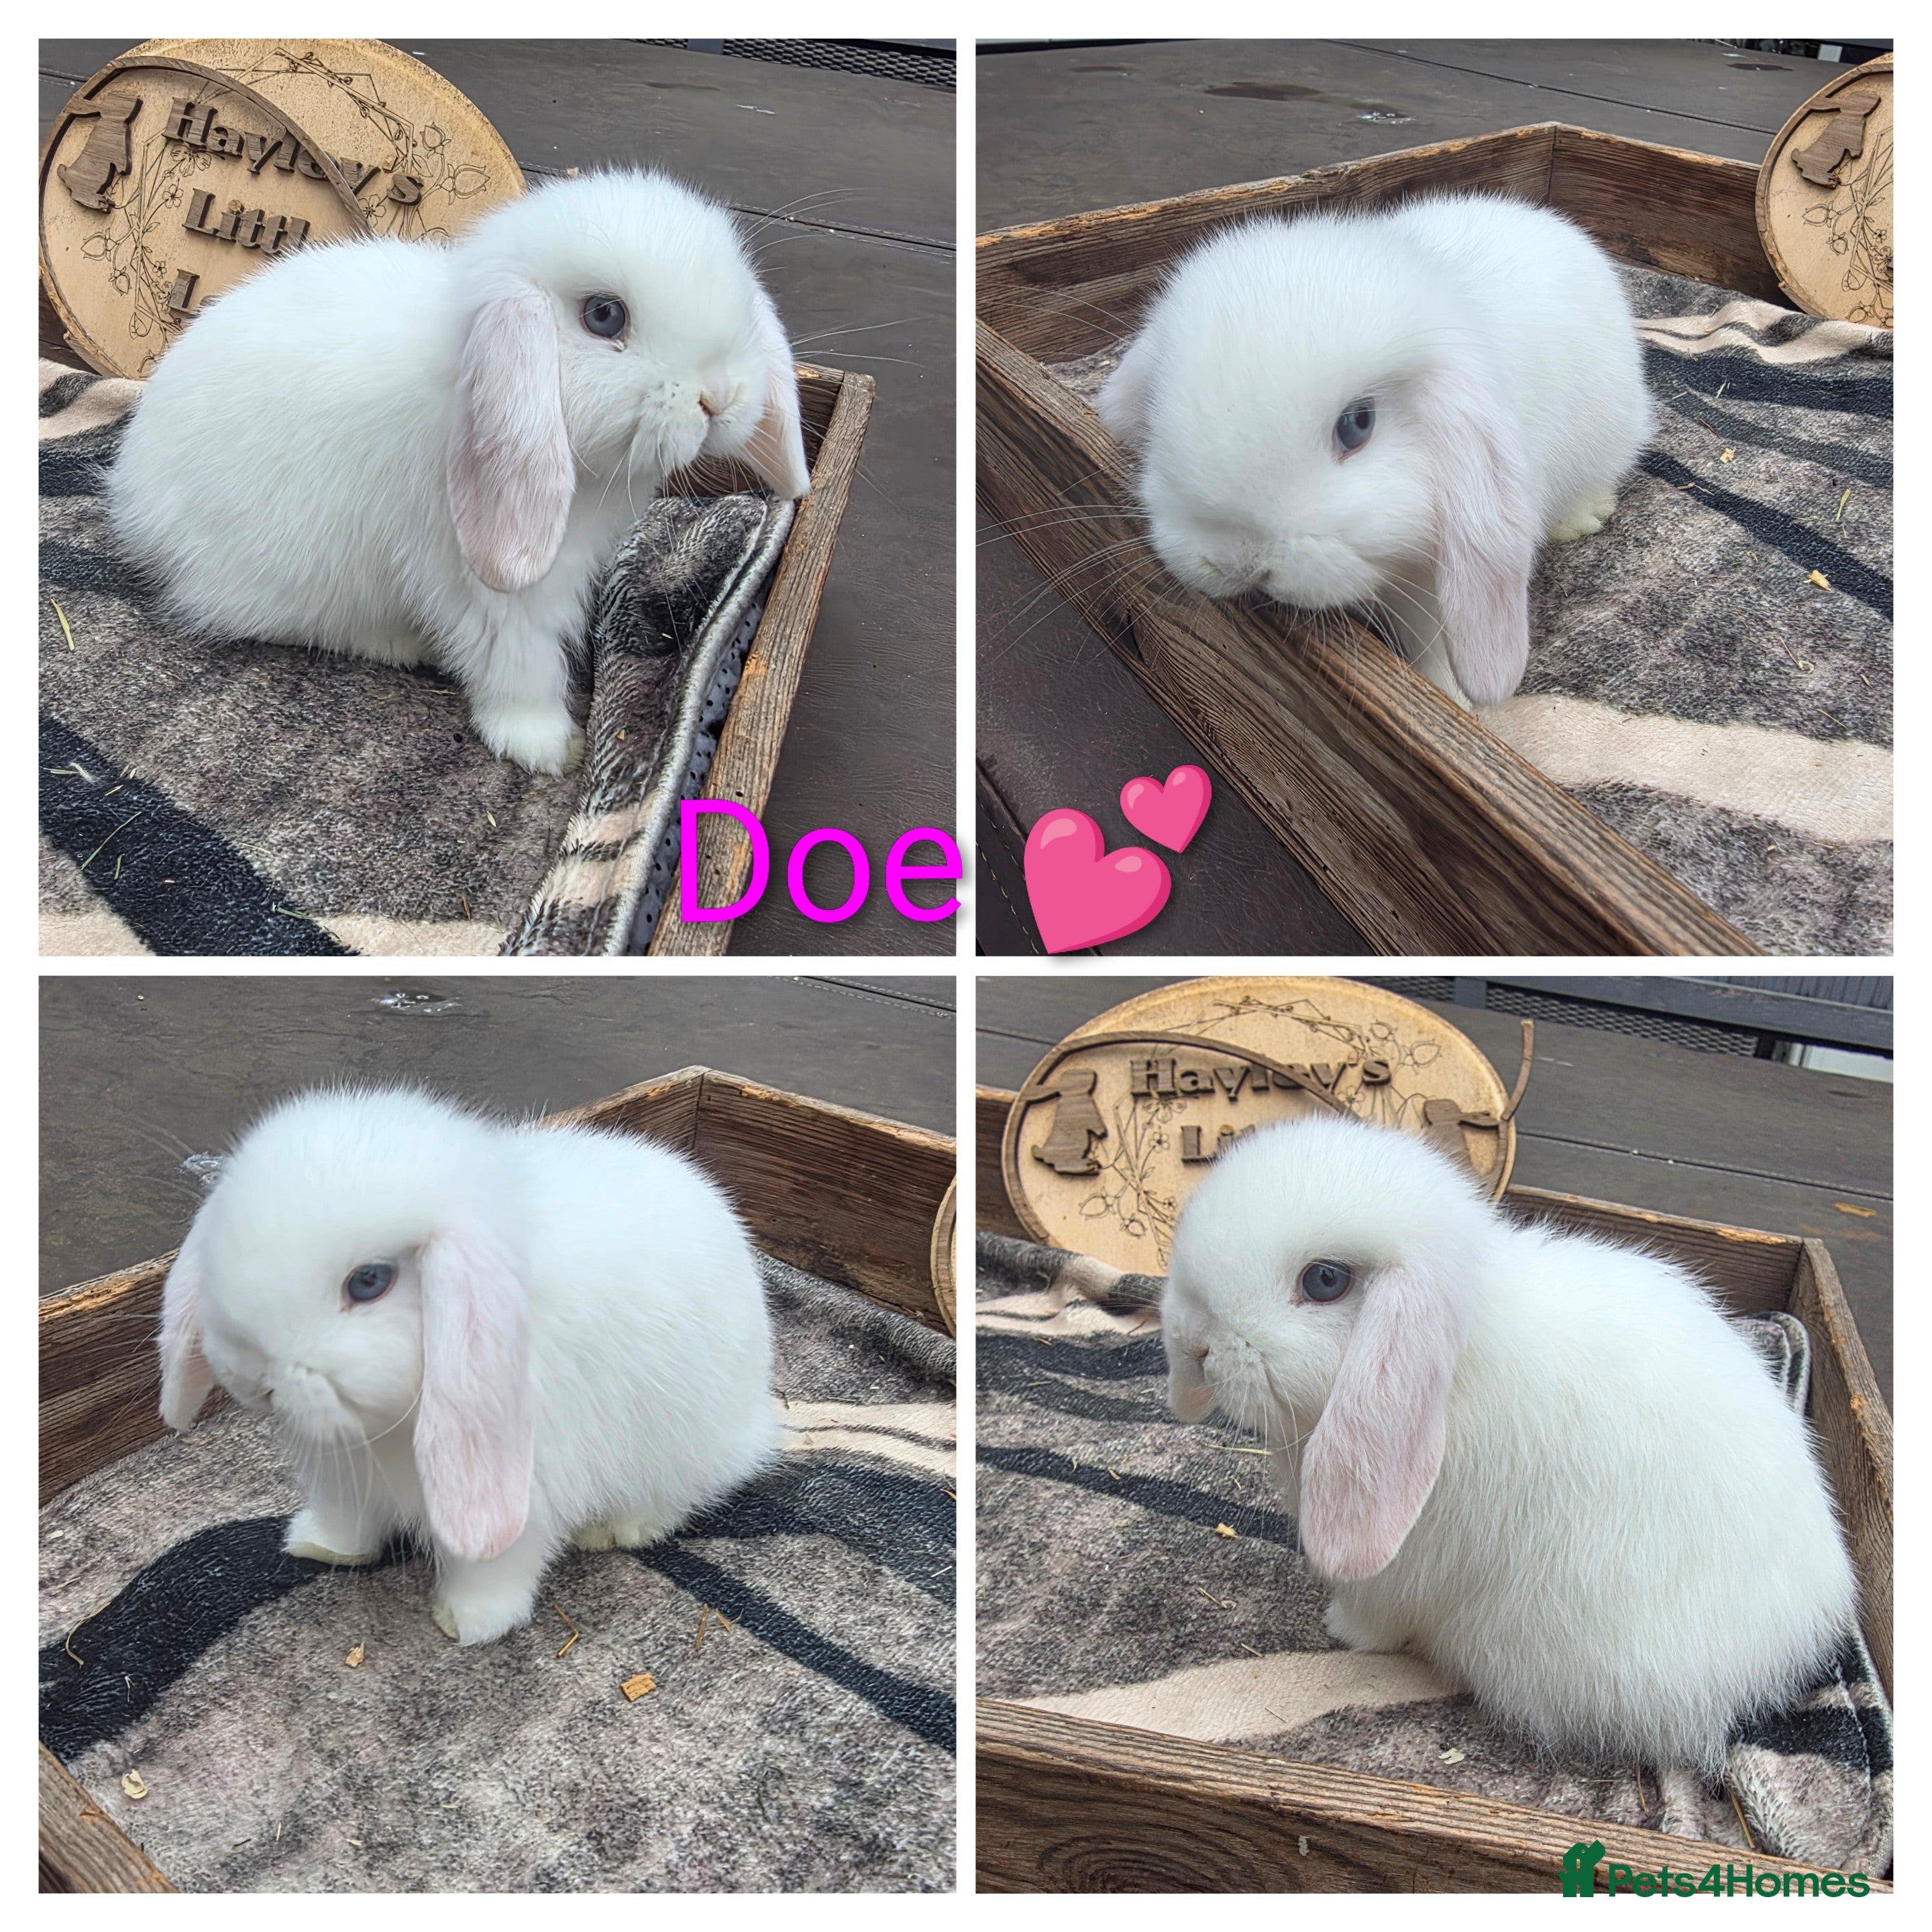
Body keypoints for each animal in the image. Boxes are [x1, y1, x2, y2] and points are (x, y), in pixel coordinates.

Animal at [108, 168, 811, 774]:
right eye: (604, 314)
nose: (720, 396)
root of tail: (132, 498)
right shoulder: (487, 584)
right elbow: (519, 658)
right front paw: (546, 745)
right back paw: (400, 643)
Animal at [156, 1086, 783, 1645]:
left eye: (369, 1282)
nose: (253, 1377)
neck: (388, 1427)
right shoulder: (341, 1474)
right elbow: (345, 1518)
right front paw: (319, 1546)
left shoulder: (524, 1487)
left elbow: (495, 1566)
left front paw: (469, 1623)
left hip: (684, 1447)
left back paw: (616, 1529)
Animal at [1162, 1114, 1856, 1775]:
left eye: (1325, 1280)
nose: (1196, 1344)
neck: (1457, 1372)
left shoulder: (1404, 1573)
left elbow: (1377, 1618)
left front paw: (1341, 1627)